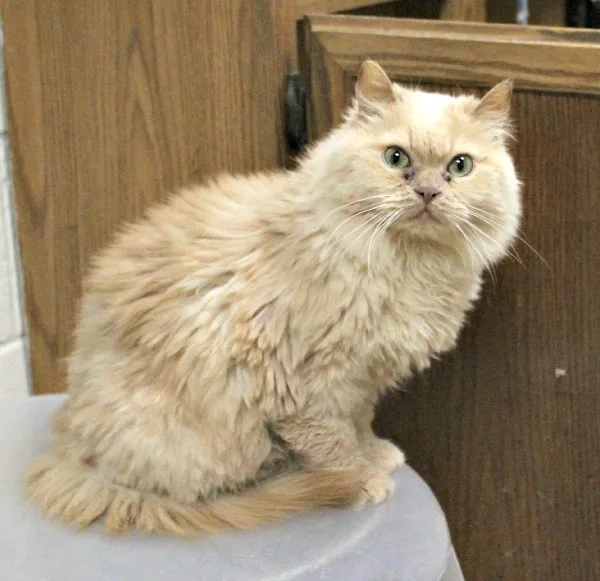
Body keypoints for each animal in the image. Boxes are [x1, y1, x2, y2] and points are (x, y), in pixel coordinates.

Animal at [24, 60, 520, 536]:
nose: (428, 192)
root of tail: (70, 453)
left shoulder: (362, 379)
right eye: (396, 158)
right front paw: (359, 479)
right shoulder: (312, 382)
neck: (407, 264)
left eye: (460, 166)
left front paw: (374, 454)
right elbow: (334, 441)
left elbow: (360, 422)